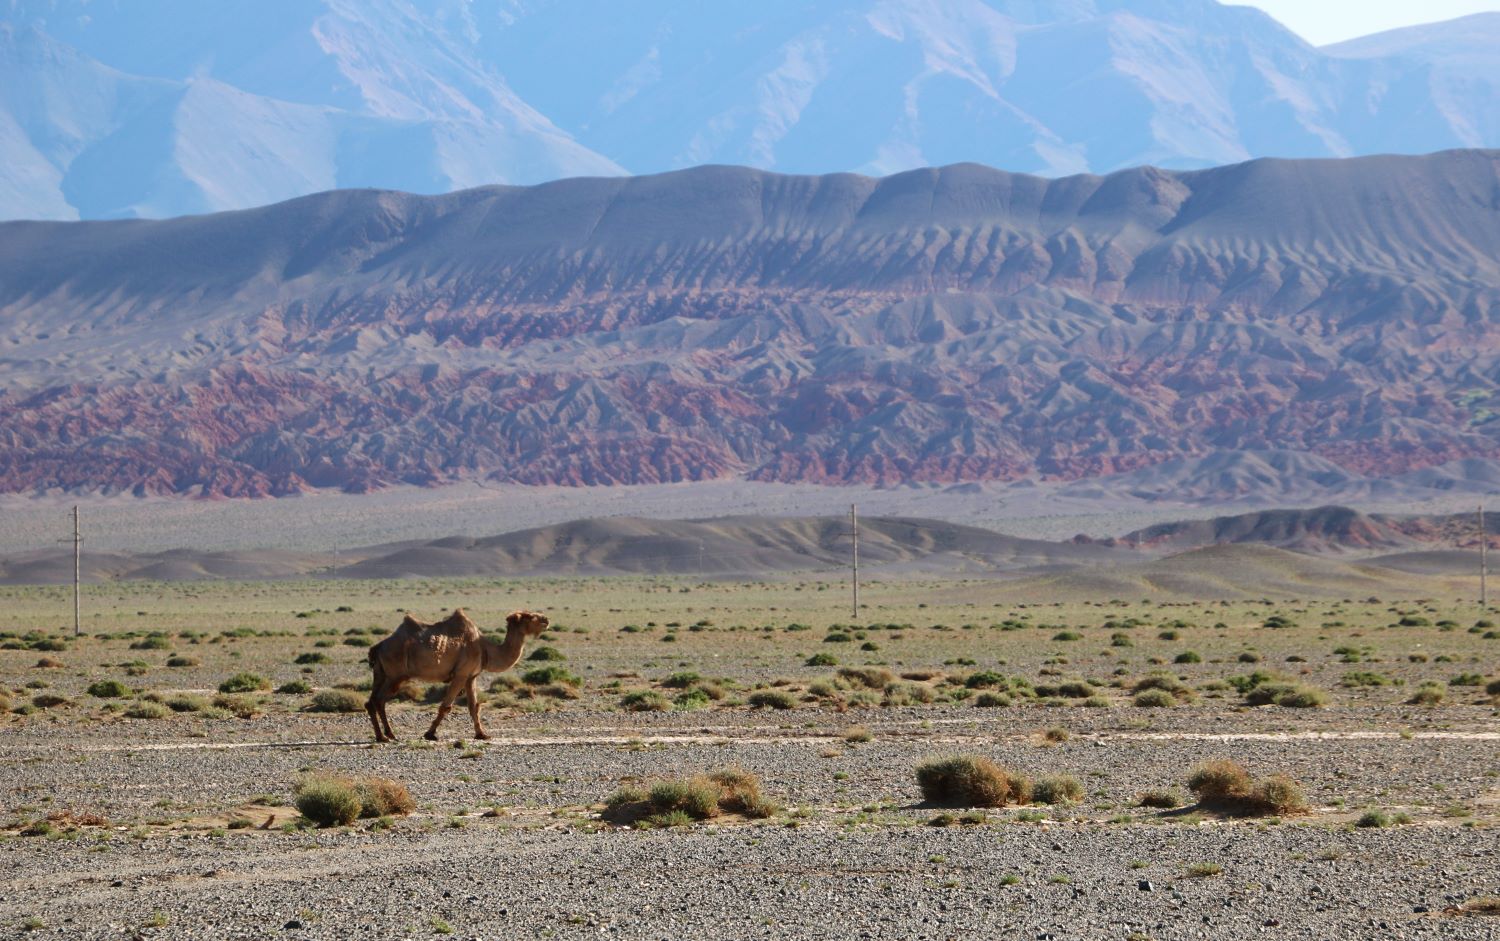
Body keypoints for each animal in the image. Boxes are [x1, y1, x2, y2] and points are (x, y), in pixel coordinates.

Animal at [363, 612, 552, 744]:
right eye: (529, 616)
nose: (546, 619)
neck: (485, 648)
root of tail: (378, 647)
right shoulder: (461, 675)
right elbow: (446, 706)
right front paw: (430, 734)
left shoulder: (471, 677)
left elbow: (474, 706)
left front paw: (482, 734)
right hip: (395, 674)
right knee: (378, 700)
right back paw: (384, 736)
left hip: (381, 673)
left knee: (372, 701)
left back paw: (387, 735)